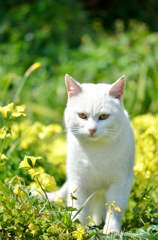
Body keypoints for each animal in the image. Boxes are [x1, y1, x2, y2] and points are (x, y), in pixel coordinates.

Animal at [45, 74, 135, 233]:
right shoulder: (79, 182)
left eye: (104, 116)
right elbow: (78, 208)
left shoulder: (121, 182)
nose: (92, 129)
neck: (96, 152)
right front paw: (78, 229)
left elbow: (115, 209)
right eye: (82, 115)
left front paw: (111, 231)